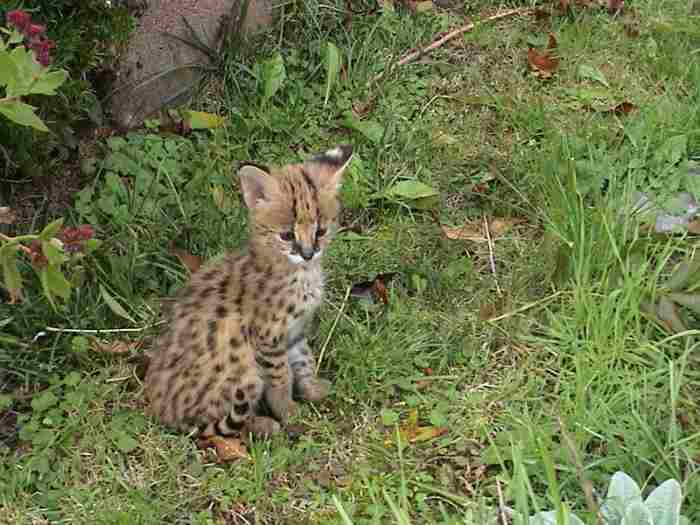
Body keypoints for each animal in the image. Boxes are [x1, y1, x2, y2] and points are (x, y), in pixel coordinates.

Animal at [148, 145, 356, 436]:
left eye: (321, 231)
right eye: (287, 235)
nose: (308, 253)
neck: (301, 271)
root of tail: (161, 412)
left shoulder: (294, 332)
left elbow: (304, 361)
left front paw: (312, 390)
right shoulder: (268, 338)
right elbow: (281, 378)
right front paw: (289, 412)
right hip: (243, 370)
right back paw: (263, 424)